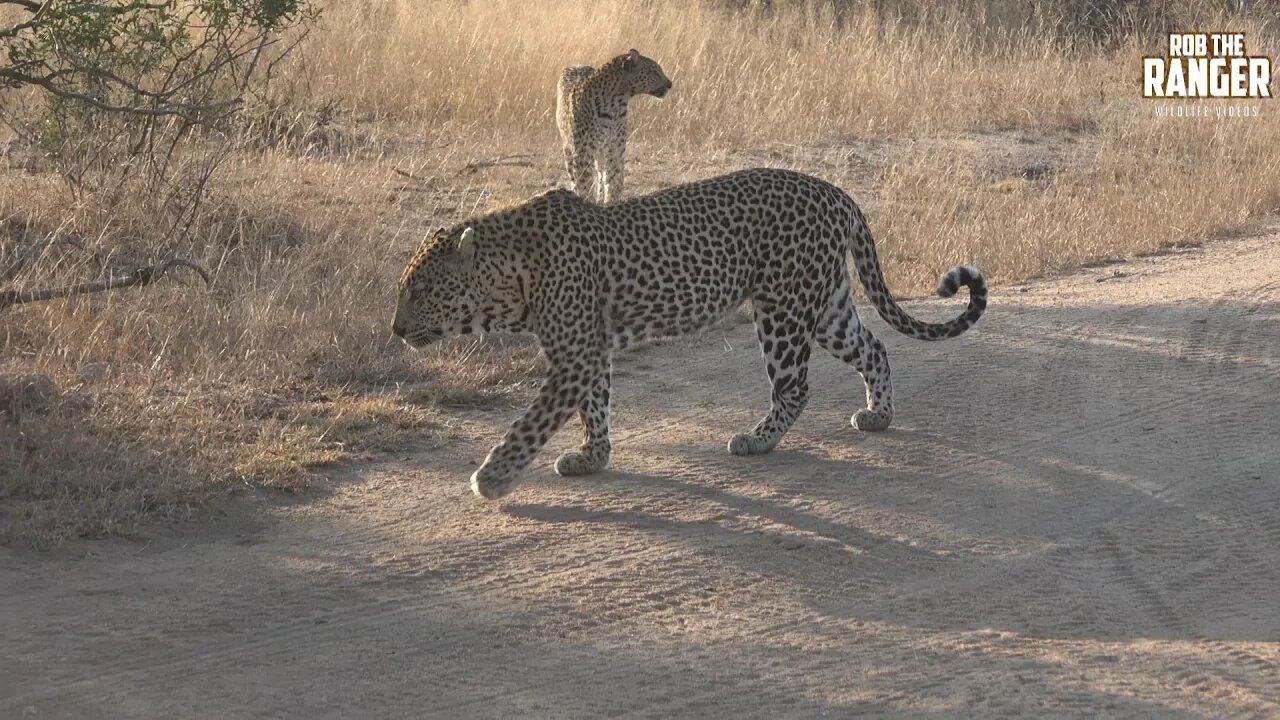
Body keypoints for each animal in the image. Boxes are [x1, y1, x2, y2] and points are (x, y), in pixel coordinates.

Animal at [391, 166, 988, 499]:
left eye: (418, 292)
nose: (395, 330)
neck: (509, 276)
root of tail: (837, 192)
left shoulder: (575, 356)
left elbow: (531, 424)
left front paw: (492, 478)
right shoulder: (590, 352)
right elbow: (595, 407)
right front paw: (592, 457)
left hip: (783, 309)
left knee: (795, 386)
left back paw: (756, 440)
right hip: (826, 307)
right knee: (875, 348)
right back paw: (878, 416)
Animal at [552, 47, 670, 204]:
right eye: (654, 71)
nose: (670, 84)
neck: (616, 104)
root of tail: (578, 65)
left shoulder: (615, 148)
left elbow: (614, 181)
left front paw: (611, 203)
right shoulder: (583, 151)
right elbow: (585, 184)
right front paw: (587, 201)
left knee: (600, 174)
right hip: (569, 149)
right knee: (575, 176)